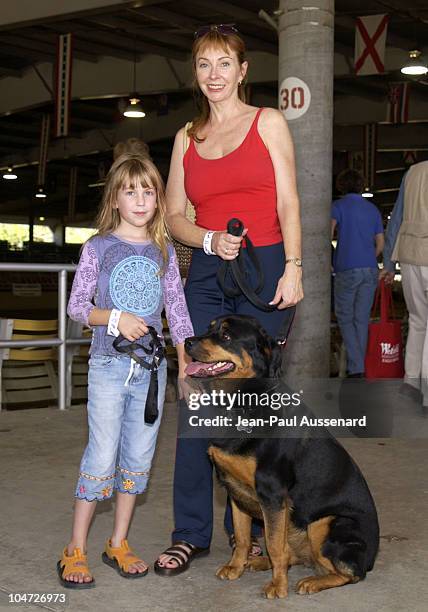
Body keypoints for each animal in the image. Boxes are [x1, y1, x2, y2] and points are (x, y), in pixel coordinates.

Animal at [186, 316, 380, 596]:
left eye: (226, 336)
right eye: (209, 328)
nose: (186, 342)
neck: (243, 404)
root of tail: (372, 557)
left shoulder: (272, 493)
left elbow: (274, 544)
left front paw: (278, 586)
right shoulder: (235, 490)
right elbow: (243, 537)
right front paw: (236, 567)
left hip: (325, 523)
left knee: (351, 573)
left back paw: (313, 581)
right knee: (297, 555)